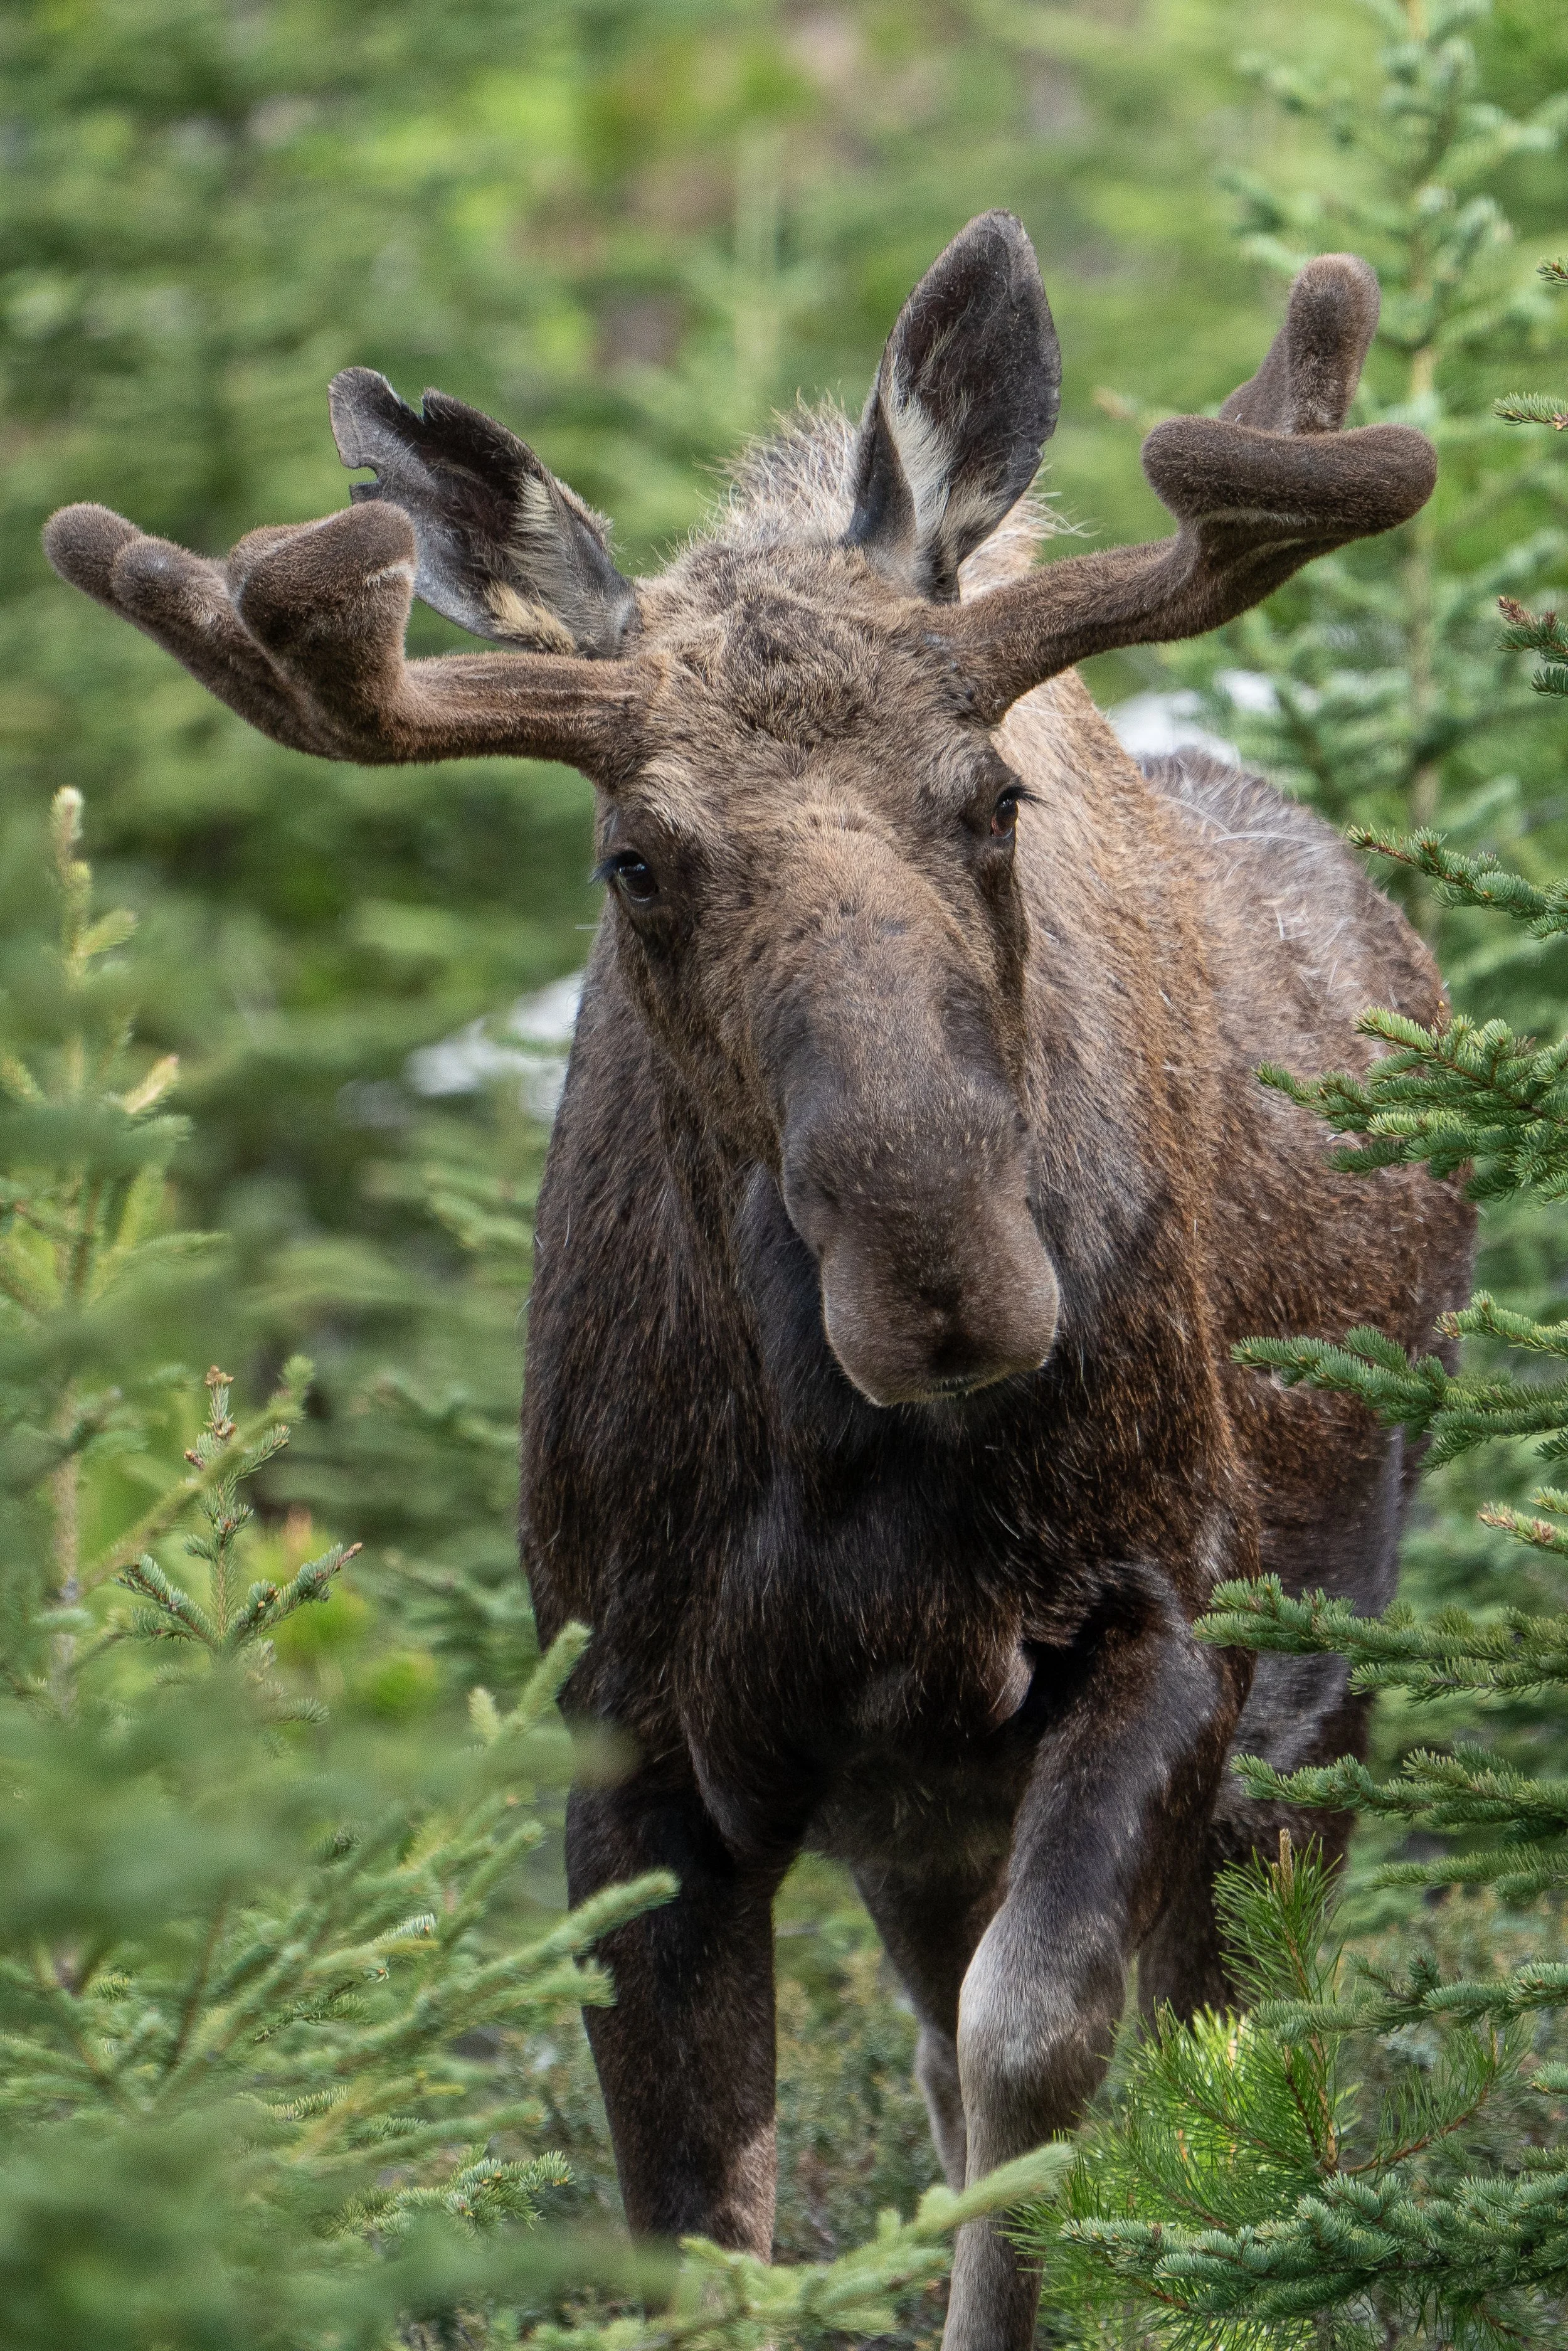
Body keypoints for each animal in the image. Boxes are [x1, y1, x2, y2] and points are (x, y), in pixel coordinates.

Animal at [45, 213, 1474, 2351]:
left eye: (990, 796)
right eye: (634, 860)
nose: (945, 1278)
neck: (839, 1467)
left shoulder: (1165, 1616)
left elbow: (1041, 2053)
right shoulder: (630, 1720)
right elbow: (696, 2208)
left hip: (1315, 1685)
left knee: (1239, 2033)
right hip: (922, 1803)